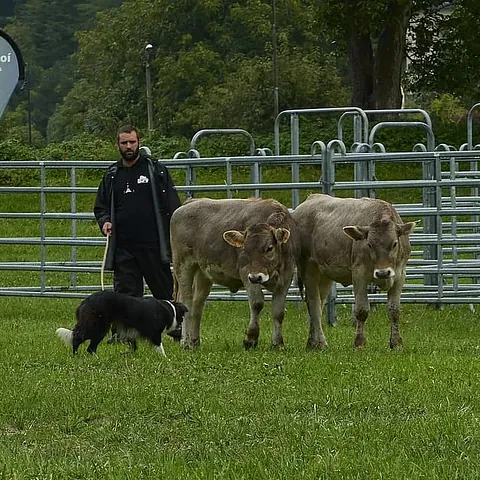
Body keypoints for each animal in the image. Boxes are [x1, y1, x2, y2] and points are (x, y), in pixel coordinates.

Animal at [171, 196, 300, 348]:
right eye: (245, 249)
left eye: (269, 248)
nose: (256, 278)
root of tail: (190, 202)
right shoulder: (246, 273)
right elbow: (257, 303)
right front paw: (250, 339)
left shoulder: (286, 277)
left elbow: (279, 311)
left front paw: (278, 343)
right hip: (183, 265)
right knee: (186, 301)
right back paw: (185, 341)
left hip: (202, 273)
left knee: (197, 304)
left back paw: (194, 341)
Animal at [292, 194, 416, 348]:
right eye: (369, 244)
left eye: (394, 244)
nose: (382, 273)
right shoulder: (359, 274)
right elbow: (361, 310)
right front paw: (359, 342)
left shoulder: (399, 274)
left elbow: (394, 310)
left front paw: (396, 342)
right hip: (308, 268)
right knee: (313, 304)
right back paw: (319, 342)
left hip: (324, 275)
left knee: (319, 304)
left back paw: (314, 342)